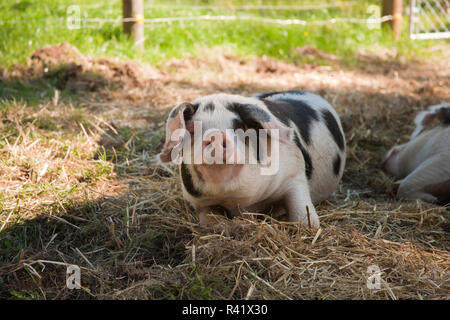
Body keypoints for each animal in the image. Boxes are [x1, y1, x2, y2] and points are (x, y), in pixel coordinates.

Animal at [157, 90, 344, 228]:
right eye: (192, 128)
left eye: (239, 126)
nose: (216, 135)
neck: (236, 201)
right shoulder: (199, 202)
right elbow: (208, 221)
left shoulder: (294, 175)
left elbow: (303, 216)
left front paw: (309, 225)